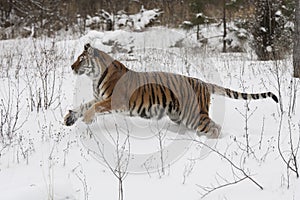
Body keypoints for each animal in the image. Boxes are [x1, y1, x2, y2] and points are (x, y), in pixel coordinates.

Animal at [63, 43, 278, 138]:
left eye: (81, 59)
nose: (71, 67)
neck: (95, 76)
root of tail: (203, 83)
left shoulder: (115, 101)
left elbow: (95, 108)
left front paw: (87, 119)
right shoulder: (98, 97)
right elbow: (84, 105)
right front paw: (70, 118)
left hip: (194, 116)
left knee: (215, 127)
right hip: (179, 115)